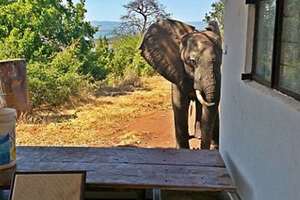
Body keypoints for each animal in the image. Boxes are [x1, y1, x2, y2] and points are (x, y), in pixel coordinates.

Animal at [139, 18, 221, 149]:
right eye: (192, 61)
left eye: (221, 60)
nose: (198, 149)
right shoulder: (176, 69)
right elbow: (180, 105)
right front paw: (182, 149)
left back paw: (199, 136)